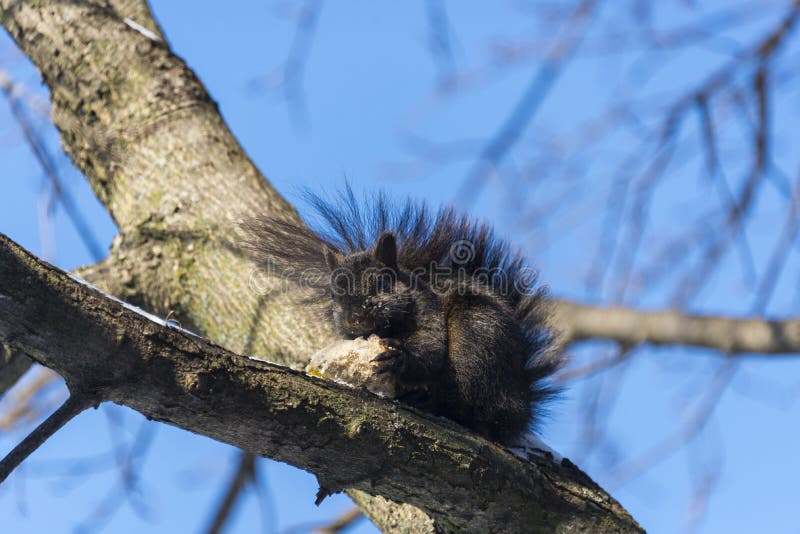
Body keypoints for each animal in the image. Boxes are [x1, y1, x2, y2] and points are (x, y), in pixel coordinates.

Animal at [242, 187, 562, 444]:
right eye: (334, 295)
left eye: (381, 283)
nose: (356, 319)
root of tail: (521, 404)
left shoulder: (428, 310)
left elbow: (430, 349)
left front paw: (398, 359)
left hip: (478, 335)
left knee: (477, 408)